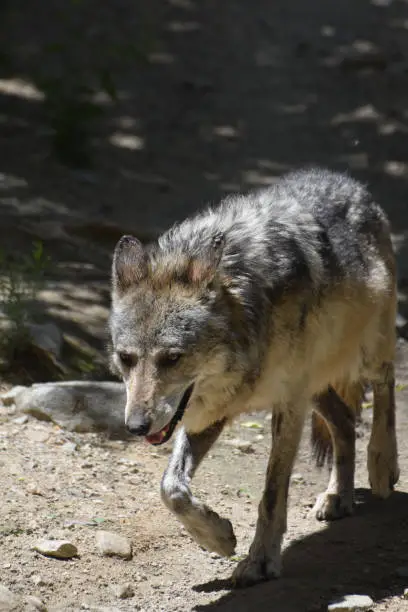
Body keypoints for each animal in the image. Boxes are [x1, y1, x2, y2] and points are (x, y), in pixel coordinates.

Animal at [109, 167, 398, 588]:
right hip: (314, 386)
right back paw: (337, 497)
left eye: (172, 358)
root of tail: (347, 182)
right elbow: (171, 488)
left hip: (364, 353)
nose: (135, 426)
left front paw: (260, 560)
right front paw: (217, 537)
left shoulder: (287, 404)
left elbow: (272, 492)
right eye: (126, 358)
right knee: (345, 422)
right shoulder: (211, 412)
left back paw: (383, 463)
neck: (248, 305)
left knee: (386, 383)